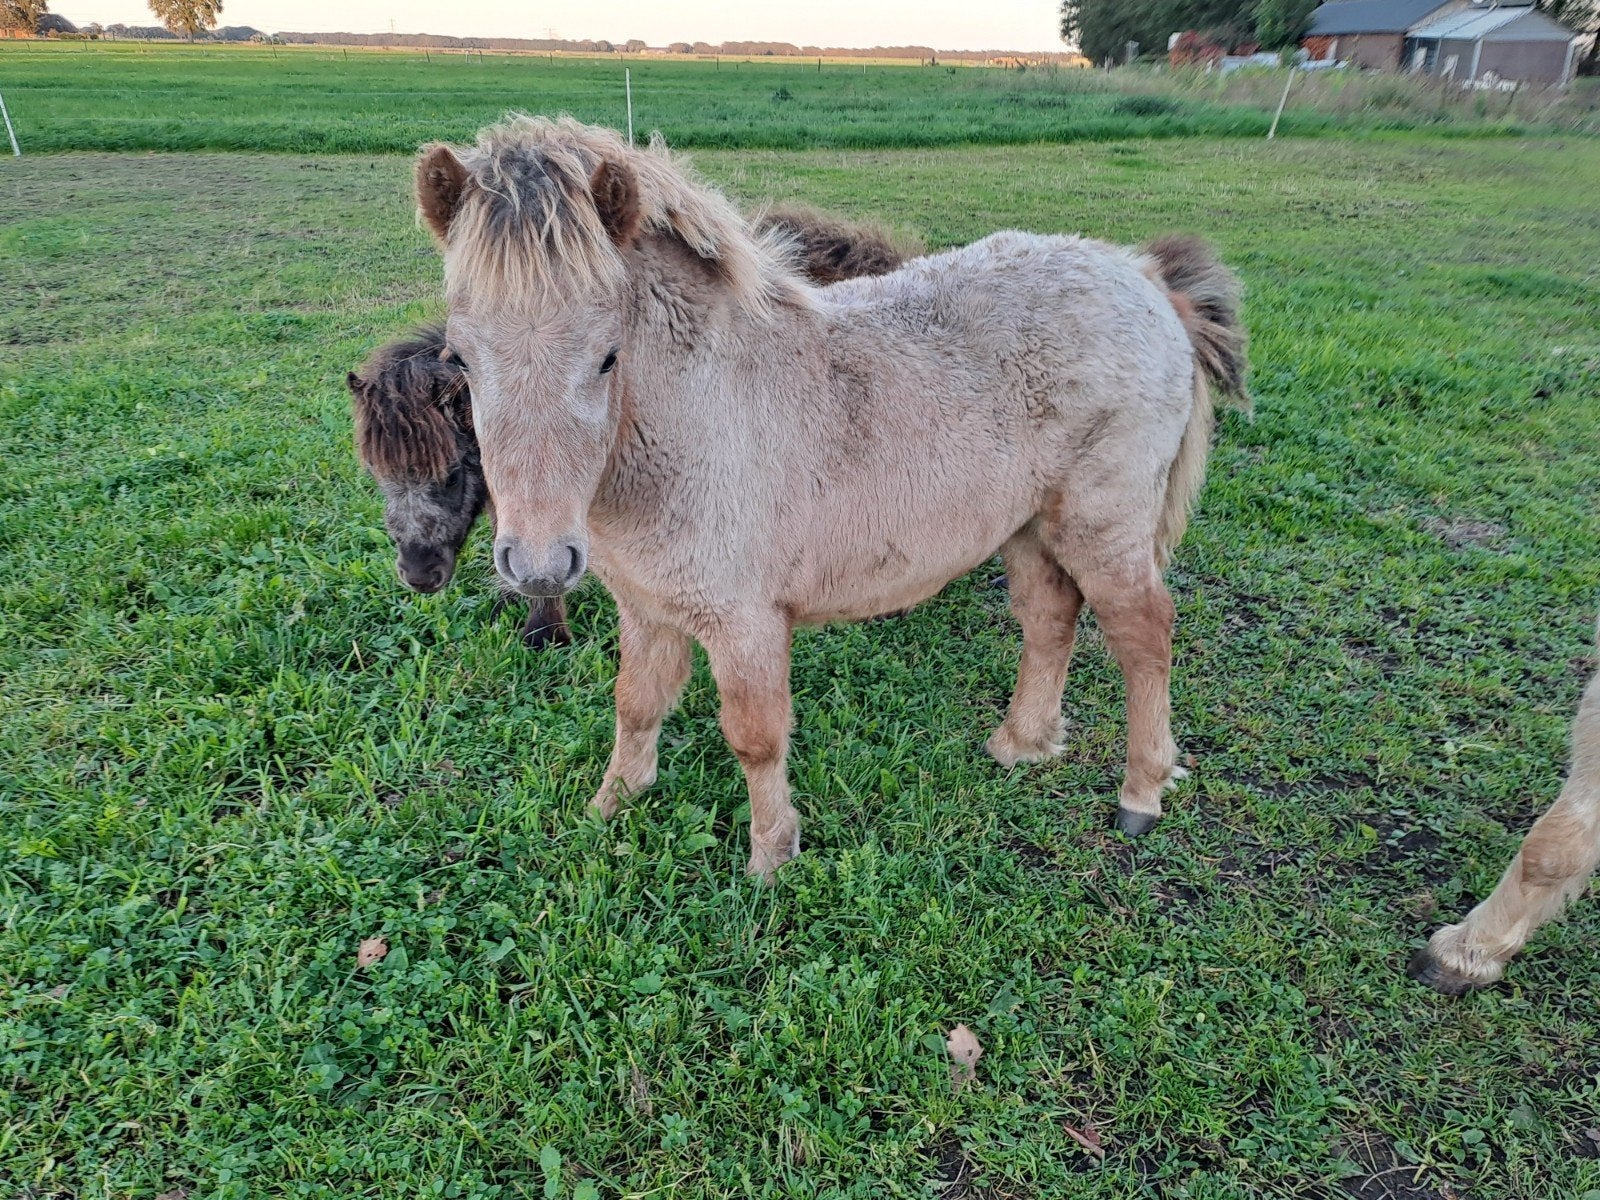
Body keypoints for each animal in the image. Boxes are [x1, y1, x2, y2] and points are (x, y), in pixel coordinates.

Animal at [416, 116, 1247, 877]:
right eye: (460, 359)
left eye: (606, 357)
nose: (537, 564)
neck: (698, 416)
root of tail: (1141, 278)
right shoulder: (648, 608)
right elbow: (636, 703)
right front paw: (610, 806)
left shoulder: (746, 623)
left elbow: (755, 736)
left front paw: (770, 857)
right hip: (1029, 527)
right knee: (1049, 620)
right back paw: (1021, 744)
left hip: (1102, 527)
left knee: (1145, 636)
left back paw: (1141, 794)